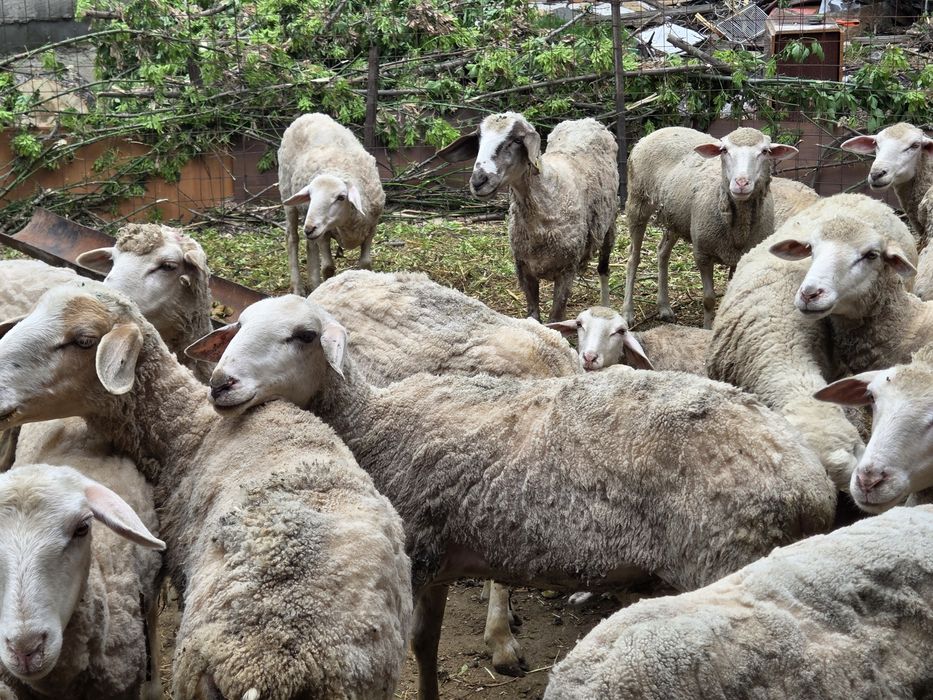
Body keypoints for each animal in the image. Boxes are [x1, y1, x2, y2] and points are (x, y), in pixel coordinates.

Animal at [278, 113, 386, 295]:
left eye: (341, 197)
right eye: (310, 195)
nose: (309, 228)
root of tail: (308, 115)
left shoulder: (371, 227)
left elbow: (365, 263)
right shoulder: (324, 233)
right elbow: (328, 268)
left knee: (310, 244)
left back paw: (313, 282)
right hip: (287, 193)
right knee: (292, 238)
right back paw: (298, 288)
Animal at [438, 112, 618, 323]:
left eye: (517, 140)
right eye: (478, 139)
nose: (478, 181)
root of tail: (585, 120)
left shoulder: (567, 270)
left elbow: (555, 319)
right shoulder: (523, 268)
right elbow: (534, 316)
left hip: (610, 223)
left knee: (604, 269)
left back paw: (605, 306)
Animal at [621, 126, 798, 329]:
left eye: (765, 151)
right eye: (724, 150)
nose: (741, 183)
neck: (739, 230)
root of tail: (661, 130)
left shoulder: (740, 256)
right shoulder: (702, 253)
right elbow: (709, 299)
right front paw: (706, 328)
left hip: (676, 217)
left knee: (662, 252)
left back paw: (664, 307)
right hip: (637, 201)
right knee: (633, 258)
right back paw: (627, 312)